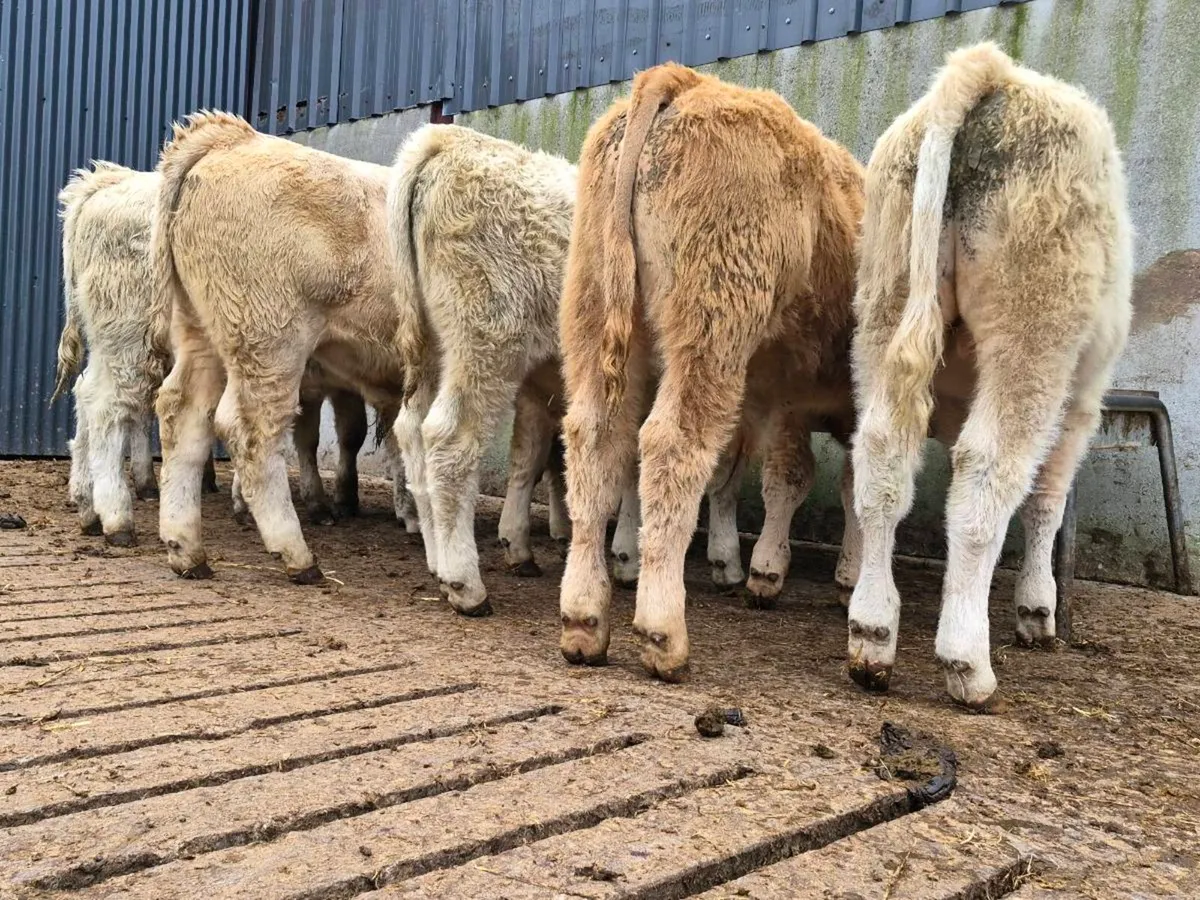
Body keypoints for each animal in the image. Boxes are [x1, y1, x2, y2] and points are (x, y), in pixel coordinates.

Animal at [152, 112, 566, 591]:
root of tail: (235, 139)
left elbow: (531, 458)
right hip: (272, 340)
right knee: (251, 430)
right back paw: (297, 553)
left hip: (201, 333)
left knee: (183, 413)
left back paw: (186, 548)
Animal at [388, 124, 577, 615]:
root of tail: (445, 138)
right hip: (488, 338)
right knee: (450, 439)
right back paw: (465, 584)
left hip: (434, 342)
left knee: (412, 431)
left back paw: (437, 561)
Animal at [557, 63, 865, 680]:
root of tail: (685, 81)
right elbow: (832, 483)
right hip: (712, 327)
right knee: (672, 445)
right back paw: (662, 632)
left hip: (597, 312)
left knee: (596, 441)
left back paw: (584, 620)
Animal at [846, 42, 1132, 710]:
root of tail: (989, 71)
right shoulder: (1082, 403)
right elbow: (1048, 500)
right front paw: (1038, 608)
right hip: (1034, 329)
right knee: (988, 471)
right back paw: (967, 661)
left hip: (884, 306)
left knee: (881, 455)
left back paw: (872, 633)